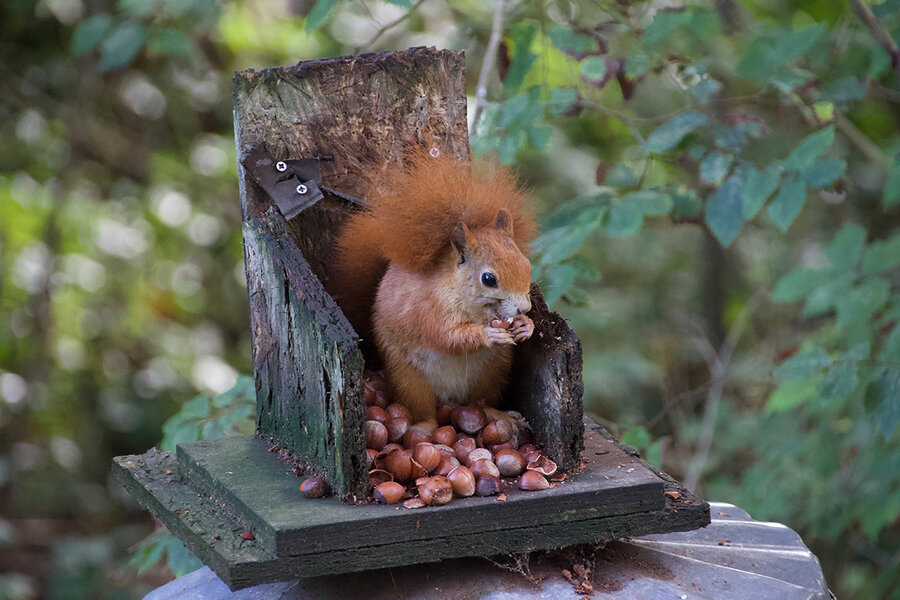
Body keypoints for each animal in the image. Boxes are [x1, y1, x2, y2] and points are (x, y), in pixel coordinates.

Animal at [331, 148, 537, 425]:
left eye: (527, 264)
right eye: (488, 279)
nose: (524, 308)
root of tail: (450, 397)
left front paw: (526, 326)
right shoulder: (428, 308)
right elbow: (446, 336)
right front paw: (488, 334)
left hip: (492, 372)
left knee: (480, 402)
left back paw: (498, 415)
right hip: (408, 379)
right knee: (422, 411)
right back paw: (425, 429)